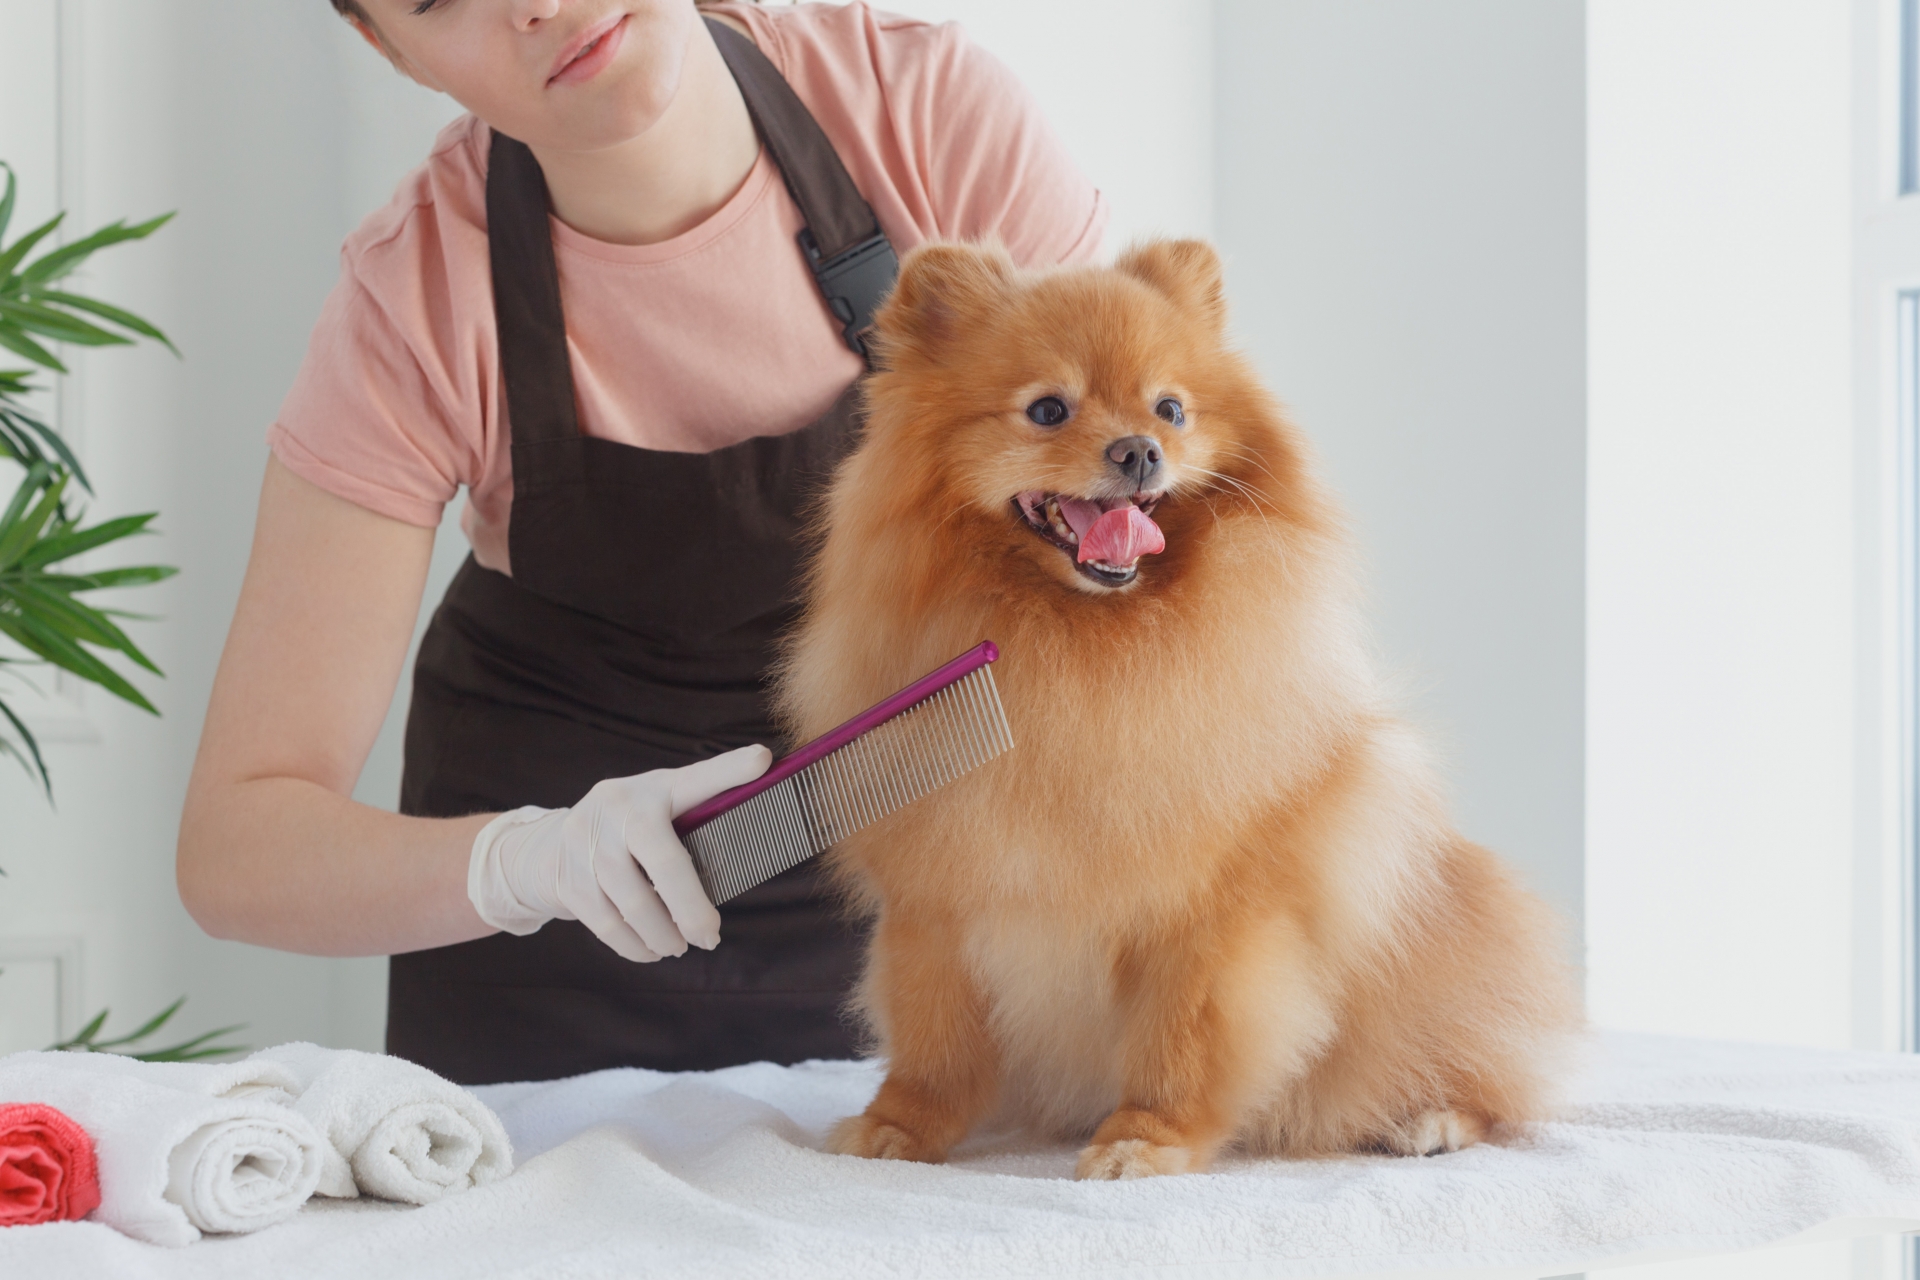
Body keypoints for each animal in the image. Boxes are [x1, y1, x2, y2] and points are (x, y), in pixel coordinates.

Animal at [771, 239, 1582, 1182]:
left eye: (1170, 408)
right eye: (1047, 410)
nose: (1138, 450)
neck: (1078, 649)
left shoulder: (1212, 909)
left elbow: (1182, 1036)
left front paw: (1144, 1139)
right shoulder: (937, 893)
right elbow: (933, 1036)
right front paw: (900, 1126)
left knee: (1482, 1070)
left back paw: (1432, 1119)